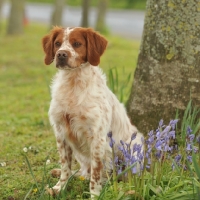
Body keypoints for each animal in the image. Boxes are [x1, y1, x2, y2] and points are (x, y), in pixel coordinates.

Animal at [41, 26, 144, 197]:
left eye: (77, 43)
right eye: (57, 43)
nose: (61, 54)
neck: (73, 83)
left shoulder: (97, 137)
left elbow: (96, 175)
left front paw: (95, 195)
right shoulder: (61, 133)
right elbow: (65, 167)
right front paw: (59, 187)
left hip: (134, 149)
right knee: (82, 172)